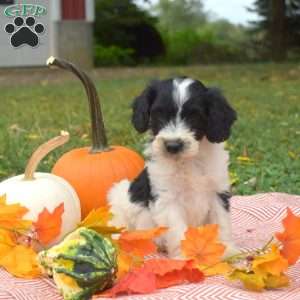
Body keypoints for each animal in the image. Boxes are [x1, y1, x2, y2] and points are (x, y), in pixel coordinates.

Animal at [108, 77, 237, 258]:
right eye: (158, 114)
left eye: (194, 116)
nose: (173, 145)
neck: (188, 161)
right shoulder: (168, 198)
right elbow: (177, 229)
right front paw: (184, 257)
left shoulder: (218, 191)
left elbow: (221, 221)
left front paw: (226, 249)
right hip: (120, 195)